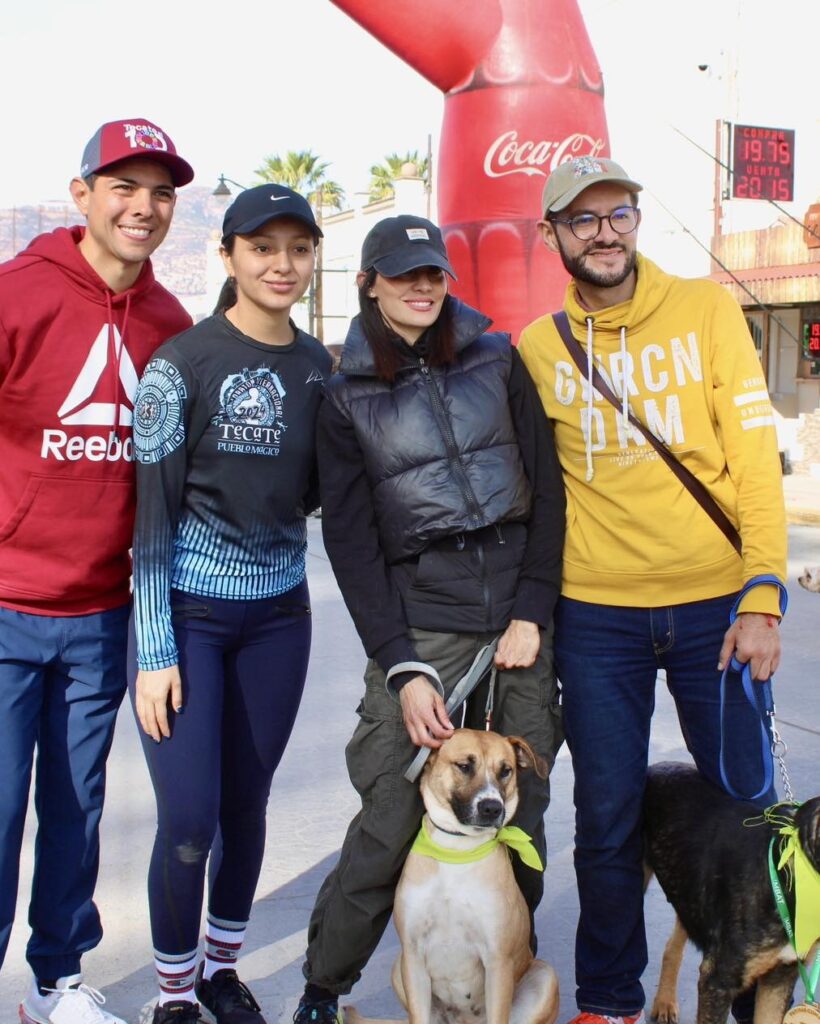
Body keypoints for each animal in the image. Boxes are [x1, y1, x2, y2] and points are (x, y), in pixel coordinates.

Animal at [341, 729, 560, 1024]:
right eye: (464, 766)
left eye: (506, 771)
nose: (492, 808)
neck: (456, 850)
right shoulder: (413, 955)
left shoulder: (498, 960)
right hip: (398, 967)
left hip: (545, 977)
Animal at [642, 761, 814, 1024]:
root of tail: (655, 767)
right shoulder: (718, 980)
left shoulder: (781, 974)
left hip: (689, 896)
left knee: (672, 946)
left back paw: (665, 1002)